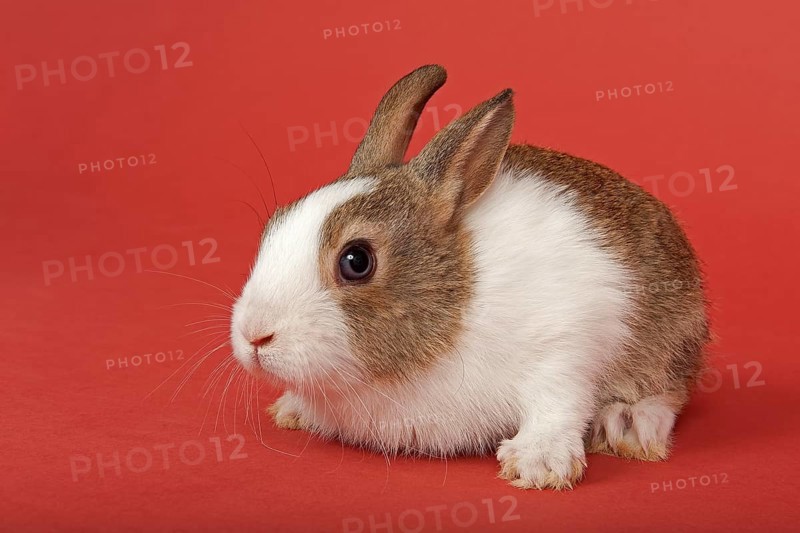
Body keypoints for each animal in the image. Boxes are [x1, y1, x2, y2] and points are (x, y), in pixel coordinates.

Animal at [229, 65, 709, 490]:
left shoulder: (565, 344)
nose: (255, 336)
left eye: (356, 260)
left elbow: (558, 401)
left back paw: (631, 425)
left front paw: (538, 463)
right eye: (274, 224)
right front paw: (292, 409)